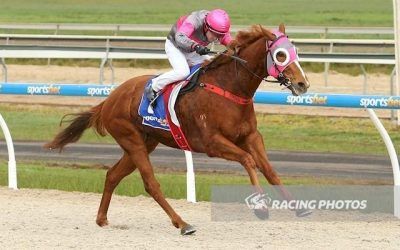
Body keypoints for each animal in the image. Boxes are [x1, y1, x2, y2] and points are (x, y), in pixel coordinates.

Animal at [45, 24, 310, 235]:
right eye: (281, 54)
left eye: (296, 51)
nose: (303, 83)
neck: (229, 88)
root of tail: (109, 99)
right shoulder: (212, 143)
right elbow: (247, 160)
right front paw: (261, 207)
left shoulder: (251, 136)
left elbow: (270, 170)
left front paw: (299, 208)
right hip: (131, 140)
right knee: (150, 183)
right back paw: (183, 223)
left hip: (144, 142)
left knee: (112, 175)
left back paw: (102, 219)